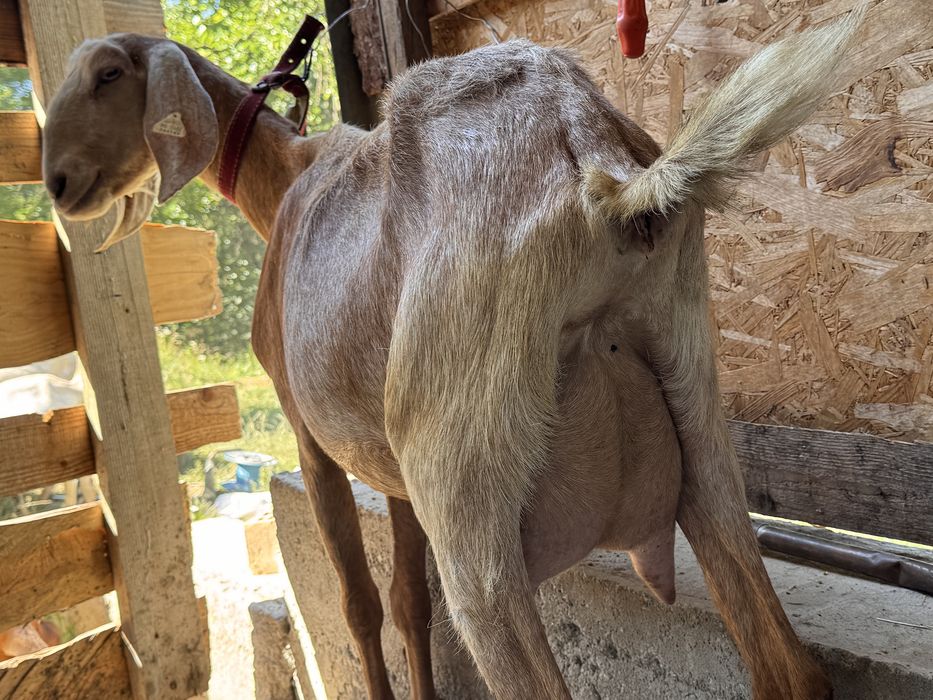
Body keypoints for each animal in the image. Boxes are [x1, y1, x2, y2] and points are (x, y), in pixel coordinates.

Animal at [41, 7, 864, 698]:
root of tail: (595, 161)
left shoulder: (310, 437)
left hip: (461, 477)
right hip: (693, 402)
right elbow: (409, 600)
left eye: (107, 73)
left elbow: (359, 602)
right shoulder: (392, 471)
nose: (58, 183)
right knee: (789, 668)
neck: (284, 186)